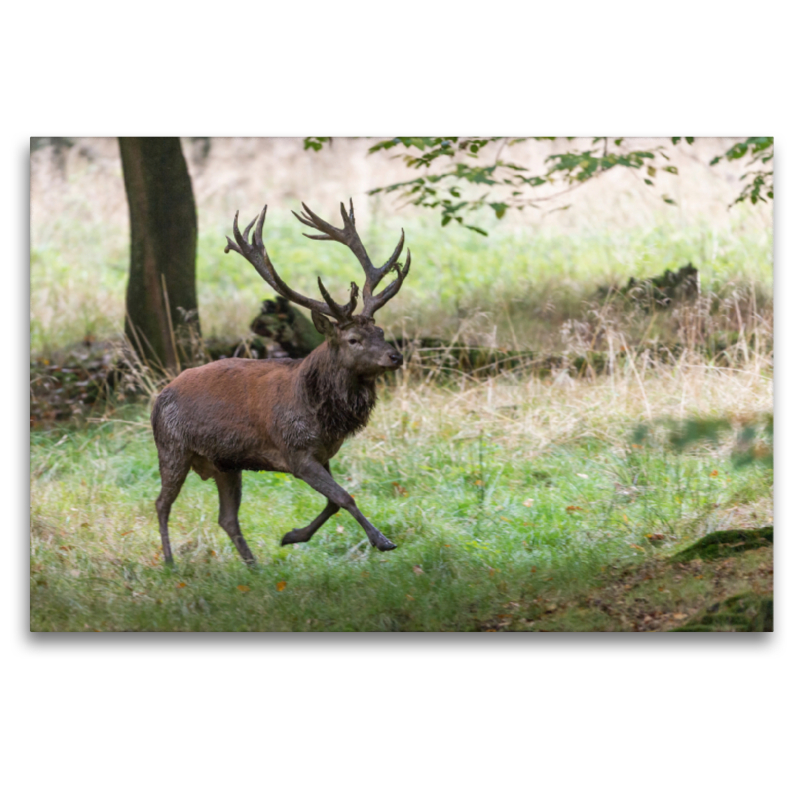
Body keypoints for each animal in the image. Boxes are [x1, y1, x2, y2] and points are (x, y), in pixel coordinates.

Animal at [151, 200, 412, 564]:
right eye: (353, 339)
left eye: (381, 331)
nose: (395, 357)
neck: (322, 417)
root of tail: (159, 397)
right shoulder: (294, 450)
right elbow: (345, 497)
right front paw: (382, 540)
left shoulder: (322, 454)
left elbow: (332, 502)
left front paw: (291, 536)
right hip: (173, 447)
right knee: (162, 503)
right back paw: (171, 562)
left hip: (226, 465)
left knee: (227, 518)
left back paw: (254, 566)